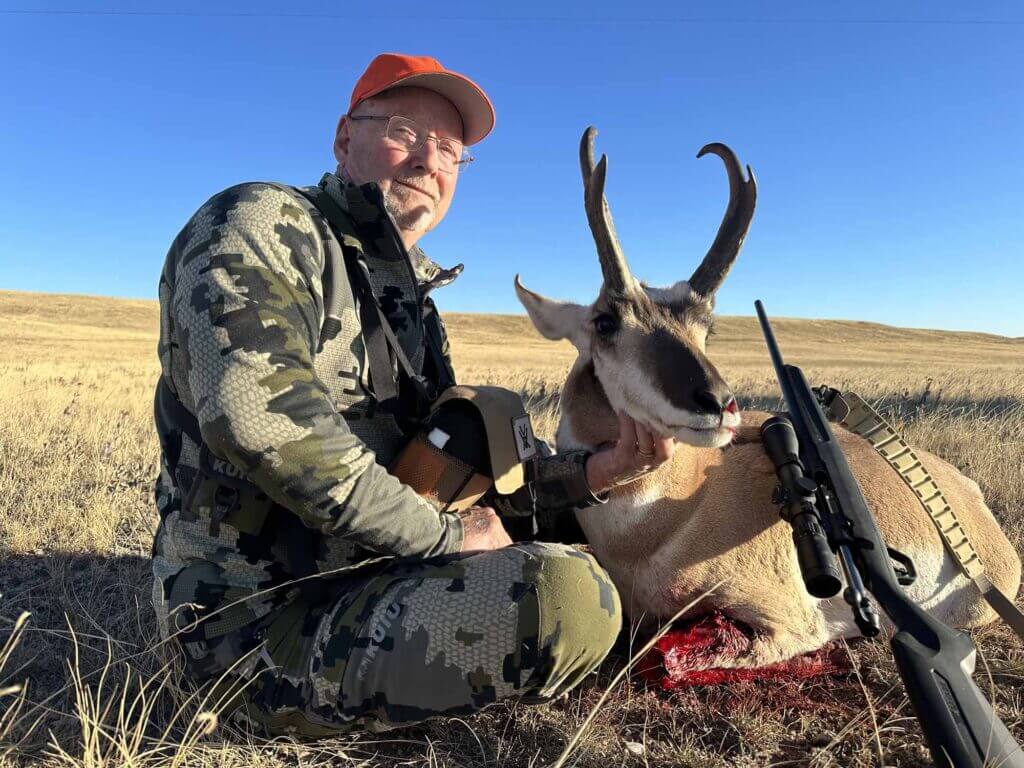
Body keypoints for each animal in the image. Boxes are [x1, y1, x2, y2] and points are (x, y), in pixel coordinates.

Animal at [514, 127, 1022, 671]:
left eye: (706, 329)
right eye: (605, 322)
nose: (719, 405)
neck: (668, 517)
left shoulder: (786, 627)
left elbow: (676, 659)